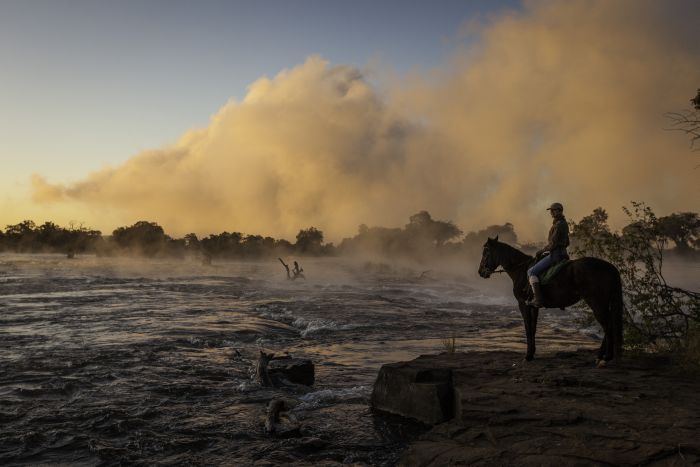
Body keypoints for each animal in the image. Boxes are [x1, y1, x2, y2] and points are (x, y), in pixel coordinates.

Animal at [476, 238, 624, 366]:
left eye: (486, 251)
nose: (480, 272)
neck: (521, 270)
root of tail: (611, 268)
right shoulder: (533, 306)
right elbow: (533, 328)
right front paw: (532, 354)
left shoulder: (523, 304)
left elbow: (527, 328)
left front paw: (528, 356)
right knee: (608, 325)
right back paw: (600, 356)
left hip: (596, 302)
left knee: (608, 326)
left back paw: (606, 358)